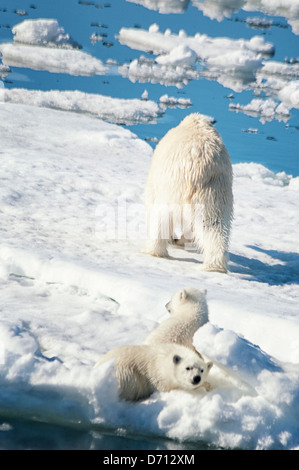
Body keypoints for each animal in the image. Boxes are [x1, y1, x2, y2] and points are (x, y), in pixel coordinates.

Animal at [144, 113, 234, 274]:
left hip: (173, 185)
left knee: (161, 215)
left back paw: (154, 250)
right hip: (216, 188)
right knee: (213, 223)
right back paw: (214, 266)